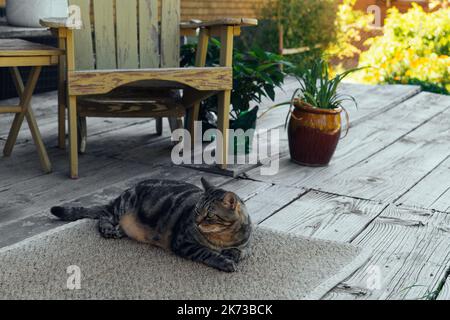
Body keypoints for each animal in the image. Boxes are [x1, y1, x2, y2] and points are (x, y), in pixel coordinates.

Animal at [51, 178, 255, 272]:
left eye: (210, 215)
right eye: (197, 211)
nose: (196, 221)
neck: (224, 237)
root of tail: (121, 194)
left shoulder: (246, 244)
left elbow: (243, 251)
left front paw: (232, 254)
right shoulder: (183, 243)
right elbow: (207, 253)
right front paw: (224, 261)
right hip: (121, 207)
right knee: (103, 216)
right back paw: (109, 229)